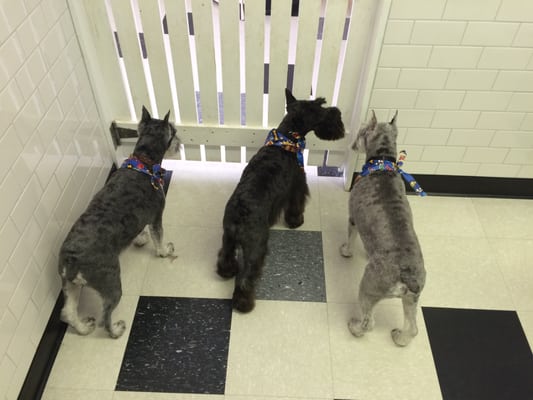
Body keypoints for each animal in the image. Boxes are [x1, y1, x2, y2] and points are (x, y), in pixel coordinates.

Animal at [58, 106, 179, 338]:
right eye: (174, 131)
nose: (181, 143)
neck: (145, 162)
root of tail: (72, 259)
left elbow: (141, 230)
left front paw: (140, 240)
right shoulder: (157, 214)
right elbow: (158, 237)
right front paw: (164, 250)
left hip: (70, 285)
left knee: (67, 312)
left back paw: (83, 327)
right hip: (111, 281)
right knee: (105, 316)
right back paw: (116, 330)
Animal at [216, 88, 344, 312]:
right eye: (320, 106)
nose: (337, 113)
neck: (287, 139)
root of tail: (240, 214)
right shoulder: (298, 186)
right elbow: (296, 205)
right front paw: (296, 222)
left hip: (228, 238)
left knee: (226, 256)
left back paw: (226, 271)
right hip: (256, 247)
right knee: (246, 277)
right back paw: (244, 303)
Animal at [340, 110, 424, 346]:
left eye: (361, 131)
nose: (352, 145)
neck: (382, 162)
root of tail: (406, 278)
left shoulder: (353, 217)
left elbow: (350, 236)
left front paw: (346, 251)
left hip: (369, 288)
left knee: (368, 323)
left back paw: (354, 327)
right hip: (411, 299)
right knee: (413, 328)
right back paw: (400, 338)